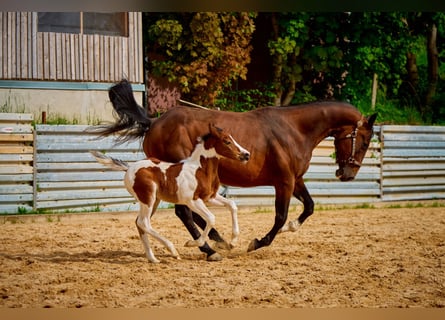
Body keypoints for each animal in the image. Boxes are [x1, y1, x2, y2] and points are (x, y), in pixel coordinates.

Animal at [91, 123, 248, 262]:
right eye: (227, 141)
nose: (246, 155)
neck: (199, 170)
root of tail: (129, 168)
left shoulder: (210, 197)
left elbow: (232, 205)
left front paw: (232, 242)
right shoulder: (192, 201)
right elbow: (211, 218)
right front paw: (192, 243)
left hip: (153, 200)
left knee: (139, 223)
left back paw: (153, 258)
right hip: (147, 198)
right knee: (144, 222)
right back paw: (172, 251)